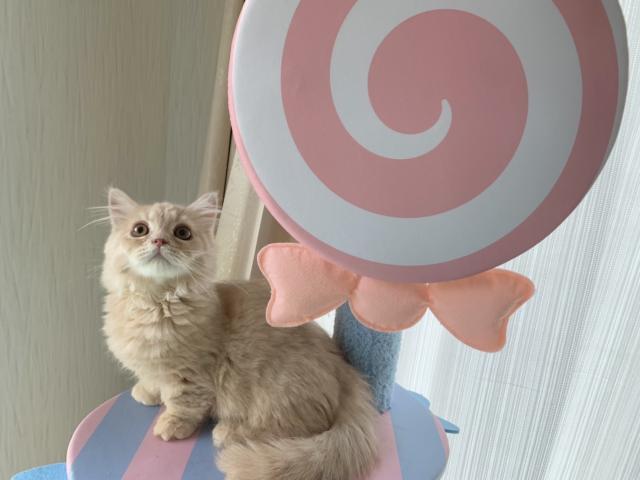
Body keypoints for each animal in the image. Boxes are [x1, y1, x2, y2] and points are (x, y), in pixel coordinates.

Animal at [101, 188, 378, 480]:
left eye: (182, 232)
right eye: (139, 230)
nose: (159, 240)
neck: (155, 303)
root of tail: (343, 367)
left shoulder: (191, 375)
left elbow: (183, 404)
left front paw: (172, 424)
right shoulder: (153, 366)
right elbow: (152, 380)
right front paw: (147, 392)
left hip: (278, 391)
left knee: (295, 427)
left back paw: (228, 432)